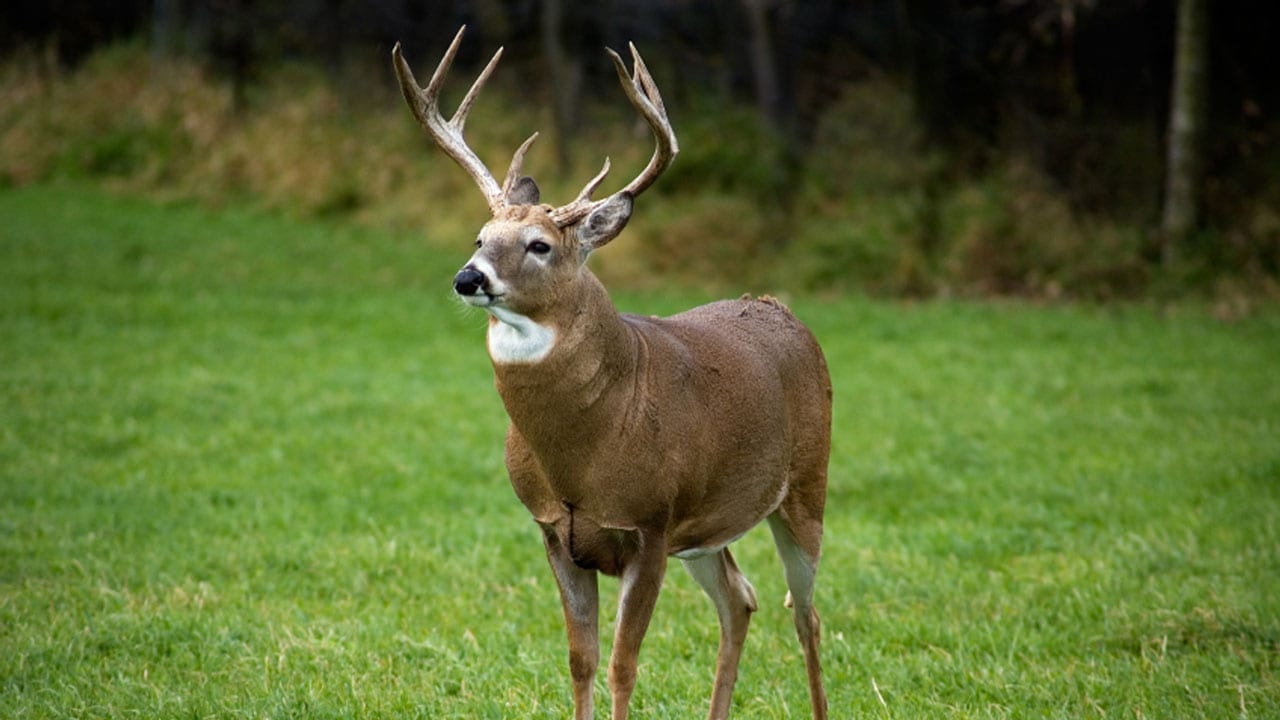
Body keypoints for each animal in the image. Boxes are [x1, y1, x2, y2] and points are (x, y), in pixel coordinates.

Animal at [389, 28, 829, 717]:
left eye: (540, 245)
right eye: (480, 236)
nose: (468, 277)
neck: (584, 449)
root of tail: (782, 309)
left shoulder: (648, 526)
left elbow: (624, 665)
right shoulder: (555, 530)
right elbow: (581, 660)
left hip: (807, 484)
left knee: (805, 613)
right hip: (704, 529)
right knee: (741, 599)